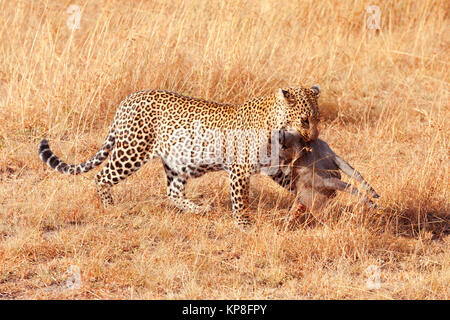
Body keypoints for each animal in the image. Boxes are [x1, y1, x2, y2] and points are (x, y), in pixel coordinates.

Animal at [37, 84, 320, 226]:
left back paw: (198, 210)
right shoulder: (239, 168)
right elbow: (241, 200)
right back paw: (110, 208)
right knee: (101, 176)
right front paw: (244, 224)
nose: (315, 138)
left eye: (318, 118)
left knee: (172, 192)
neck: (278, 125)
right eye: (305, 120)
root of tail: (126, 101)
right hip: (132, 150)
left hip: (177, 161)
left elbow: (293, 181)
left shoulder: (274, 166)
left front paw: (309, 199)